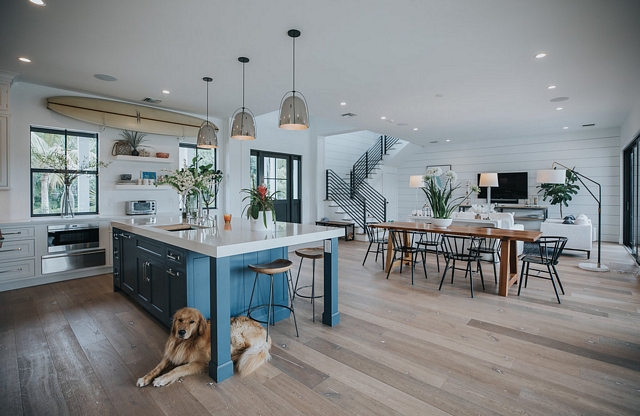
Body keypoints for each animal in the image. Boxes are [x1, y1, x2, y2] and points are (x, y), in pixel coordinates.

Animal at [137, 308, 270, 388]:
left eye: (192, 321)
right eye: (180, 320)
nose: (181, 332)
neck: (185, 342)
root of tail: (265, 333)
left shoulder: (200, 362)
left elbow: (178, 369)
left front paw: (161, 379)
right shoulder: (172, 355)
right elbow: (157, 368)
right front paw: (144, 378)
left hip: (234, 331)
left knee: (244, 348)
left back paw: (233, 359)